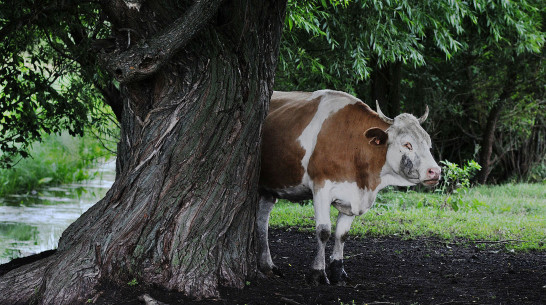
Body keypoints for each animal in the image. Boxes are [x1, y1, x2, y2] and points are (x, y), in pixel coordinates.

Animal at [258, 89, 440, 284]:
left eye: (429, 144)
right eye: (407, 144)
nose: (435, 171)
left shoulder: (353, 196)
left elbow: (342, 234)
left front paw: (338, 272)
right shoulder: (321, 188)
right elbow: (324, 231)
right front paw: (318, 273)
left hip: (268, 190)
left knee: (262, 221)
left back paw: (268, 267)